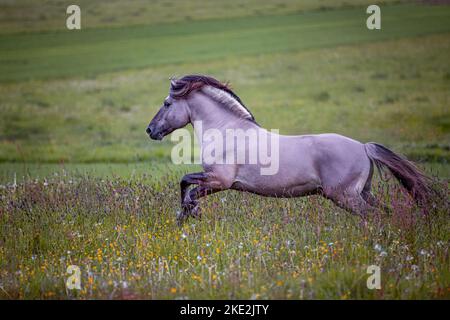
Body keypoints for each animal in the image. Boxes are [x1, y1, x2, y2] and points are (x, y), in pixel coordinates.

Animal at [146, 75, 430, 225]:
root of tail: (363, 147)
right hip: (364, 192)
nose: (150, 130)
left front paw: (190, 212)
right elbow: (187, 185)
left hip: (345, 196)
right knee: (386, 212)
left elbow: (187, 184)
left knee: (374, 217)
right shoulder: (217, 182)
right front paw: (185, 217)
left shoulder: (219, 180)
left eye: (167, 103)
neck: (226, 130)